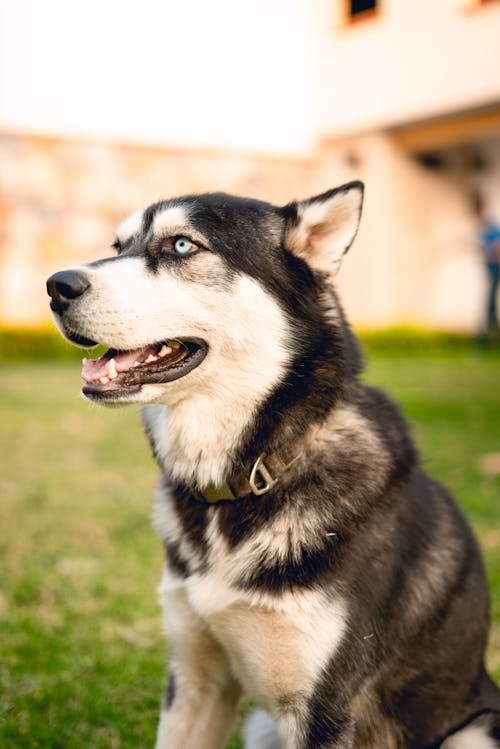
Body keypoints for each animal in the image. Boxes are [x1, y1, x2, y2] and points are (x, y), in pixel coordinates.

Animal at [45, 183, 498, 748]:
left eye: (181, 246)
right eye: (119, 245)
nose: (55, 286)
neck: (248, 477)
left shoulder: (322, 709)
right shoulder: (195, 684)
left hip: (472, 731)